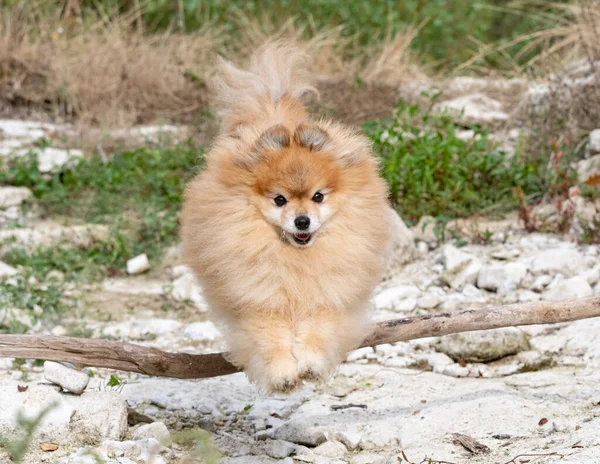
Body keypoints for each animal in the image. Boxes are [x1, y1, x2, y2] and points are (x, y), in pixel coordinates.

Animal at [180, 41, 392, 394]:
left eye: (318, 197)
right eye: (279, 200)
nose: (302, 221)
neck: (295, 260)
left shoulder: (330, 294)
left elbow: (319, 329)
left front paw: (311, 366)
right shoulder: (258, 298)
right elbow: (270, 338)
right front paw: (282, 375)